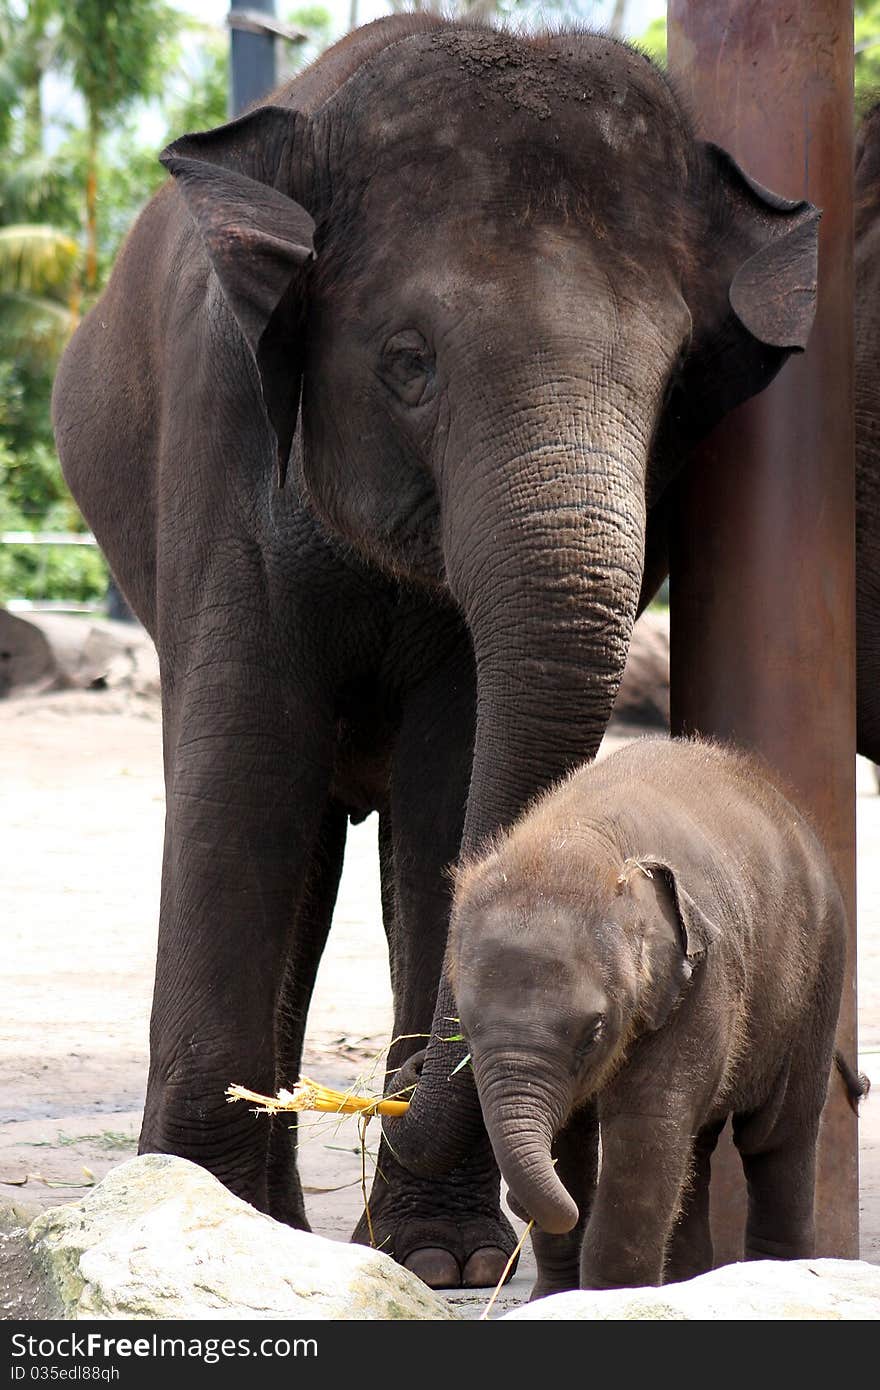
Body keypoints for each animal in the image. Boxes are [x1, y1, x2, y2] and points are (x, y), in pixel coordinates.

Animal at [450, 739, 845, 1289]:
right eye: (465, 1028)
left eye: (594, 1031)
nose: (514, 1202)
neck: (577, 839)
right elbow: (573, 1137)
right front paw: (554, 1297)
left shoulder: (703, 979)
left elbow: (646, 1124)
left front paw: (607, 1296)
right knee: (698, 1145)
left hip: (818, 979)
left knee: (778, 1135)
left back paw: (781, 1273)